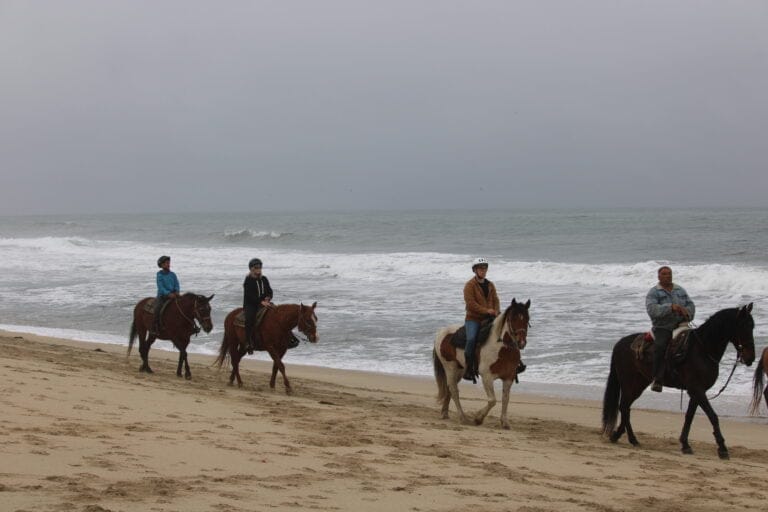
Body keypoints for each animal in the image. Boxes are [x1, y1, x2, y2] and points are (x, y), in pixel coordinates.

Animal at [428, 298, 532, 430]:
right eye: (512, 318)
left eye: (527, 318)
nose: (521, 342)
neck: (502, 349)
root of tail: (441, 333)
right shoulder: (487, 377)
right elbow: (492, 400)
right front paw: (478, 418)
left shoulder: (509, 377)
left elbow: (505, 399)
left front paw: (504, 422)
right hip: (450, 367)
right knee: (454, 391)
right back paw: (463, 418)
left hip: (459, 371)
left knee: (449, 389)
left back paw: (444, 413)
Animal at [600, 304, 756, 460]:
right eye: (743, 326)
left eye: (752, 326)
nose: (751, 358)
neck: (702, 350)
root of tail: (619, 344)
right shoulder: (697, 390)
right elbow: (713, 416)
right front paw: (722, 449)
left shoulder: (696, 392)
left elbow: (689, 417)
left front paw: (685, 444)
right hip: (629, 382)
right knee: (624, 407)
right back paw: (631, 438)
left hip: (639, 384)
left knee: (625, 407)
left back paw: (619, 436)